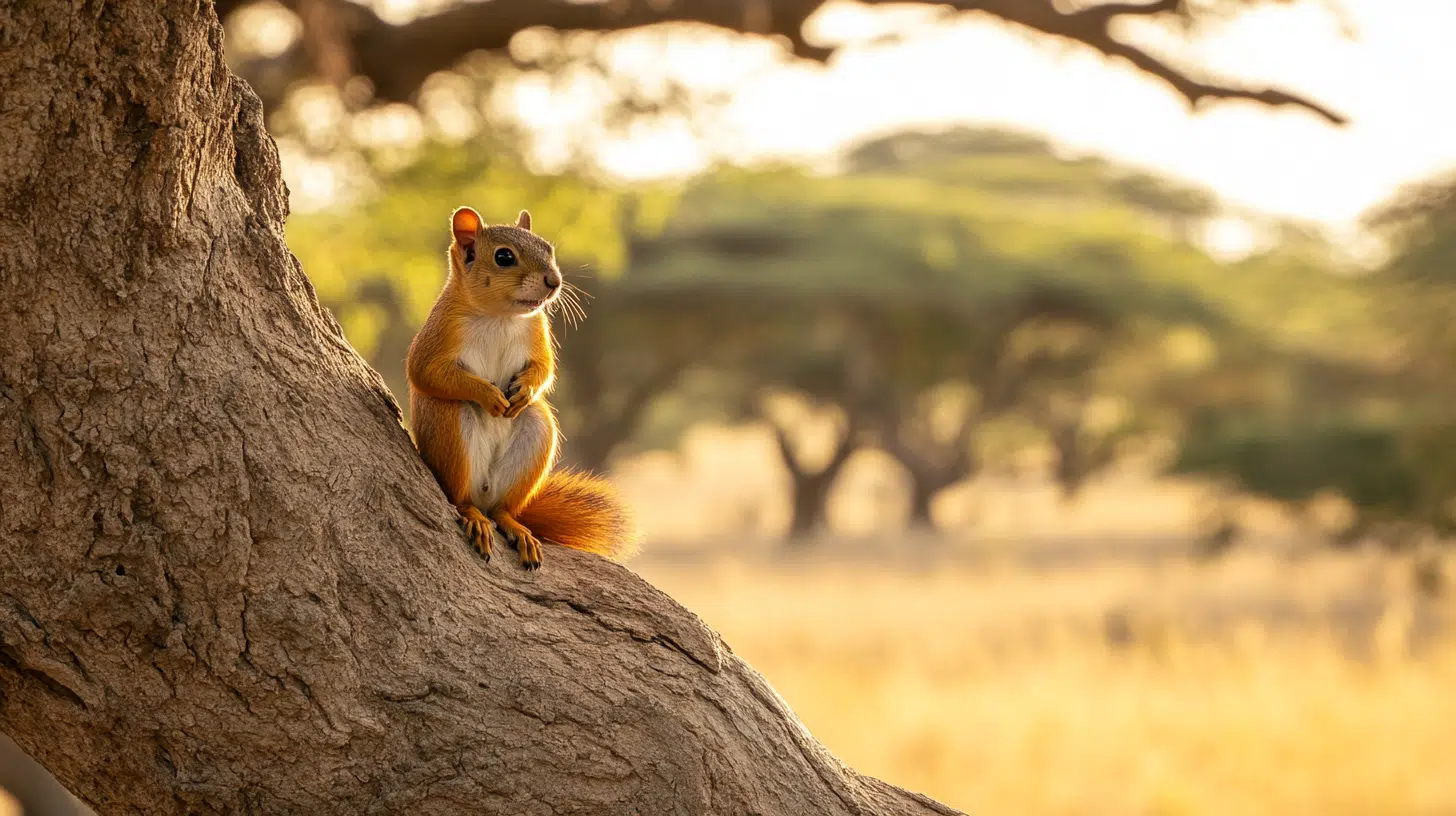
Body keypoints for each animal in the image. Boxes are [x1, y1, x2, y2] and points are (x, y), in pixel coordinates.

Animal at [406, 206, 636, 570]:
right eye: (503, 257)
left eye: (548, 248)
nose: (554, 282)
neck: (500, 316)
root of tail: (484, 493)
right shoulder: (436, 337)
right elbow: (425, 373)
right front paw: (488, 394)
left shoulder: (537, 331)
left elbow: (544, 370)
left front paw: (525, 390)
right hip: (450, 429)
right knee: (460, 499)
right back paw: (475, 517)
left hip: (536, 432)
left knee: (503, 508)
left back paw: (514, 526)